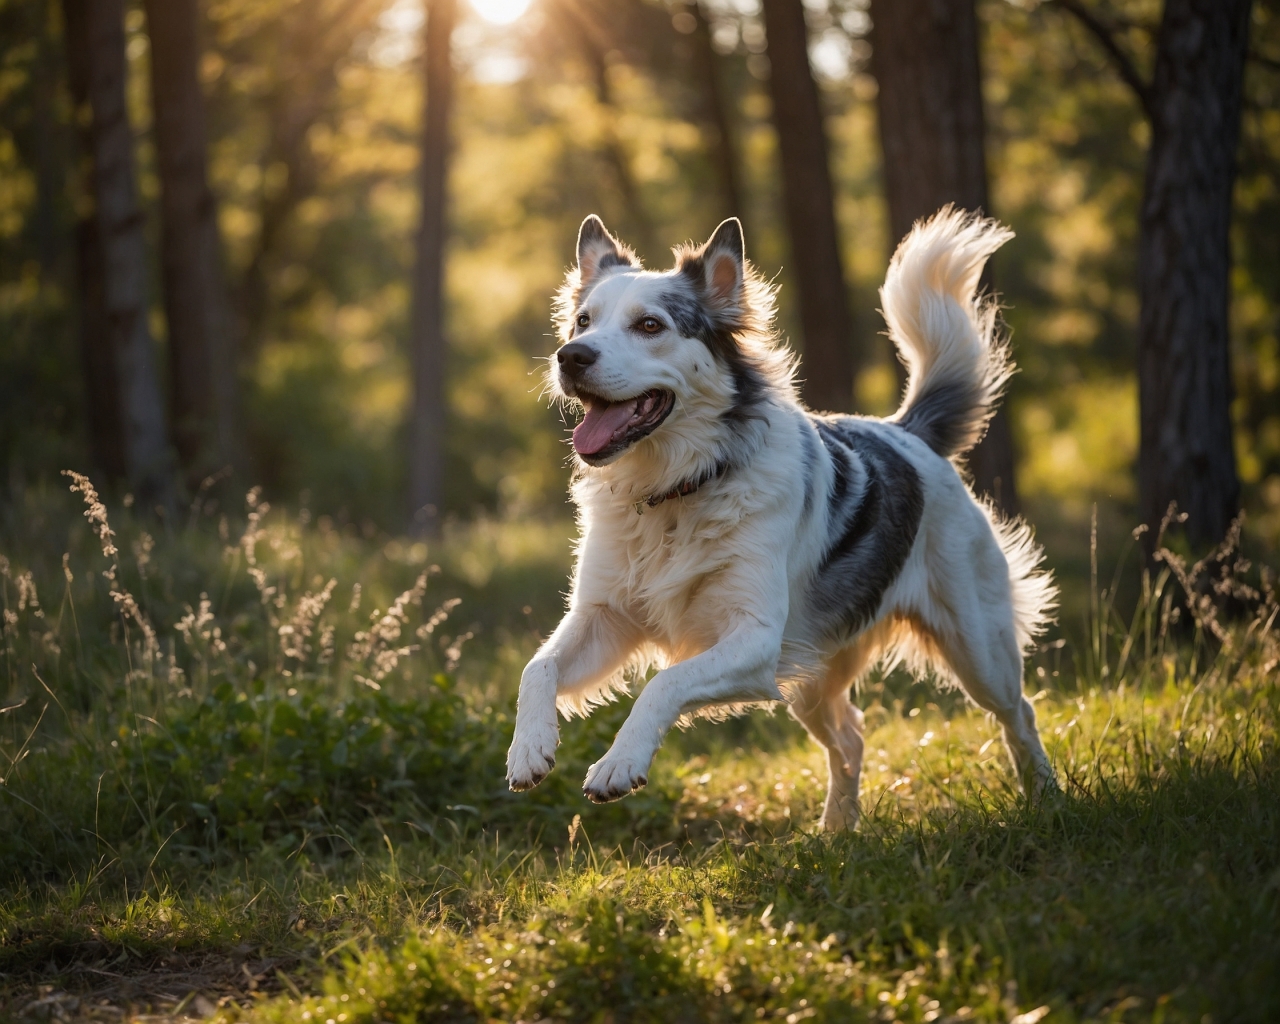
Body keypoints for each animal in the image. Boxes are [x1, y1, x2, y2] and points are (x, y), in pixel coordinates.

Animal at [504, 203, 1054, 829]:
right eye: (582, 322)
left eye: (649, 326)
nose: (570, 357)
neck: (676, 489)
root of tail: (907, 431)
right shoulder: (604, 617)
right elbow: (536, 668)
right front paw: (529, 748)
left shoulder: (754, 639)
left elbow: (665, 682)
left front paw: (620, 763)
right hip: (812, 671)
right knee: (851, 736)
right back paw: (837, 830)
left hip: (977, 647)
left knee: (1020, 713)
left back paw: (1047, 797)